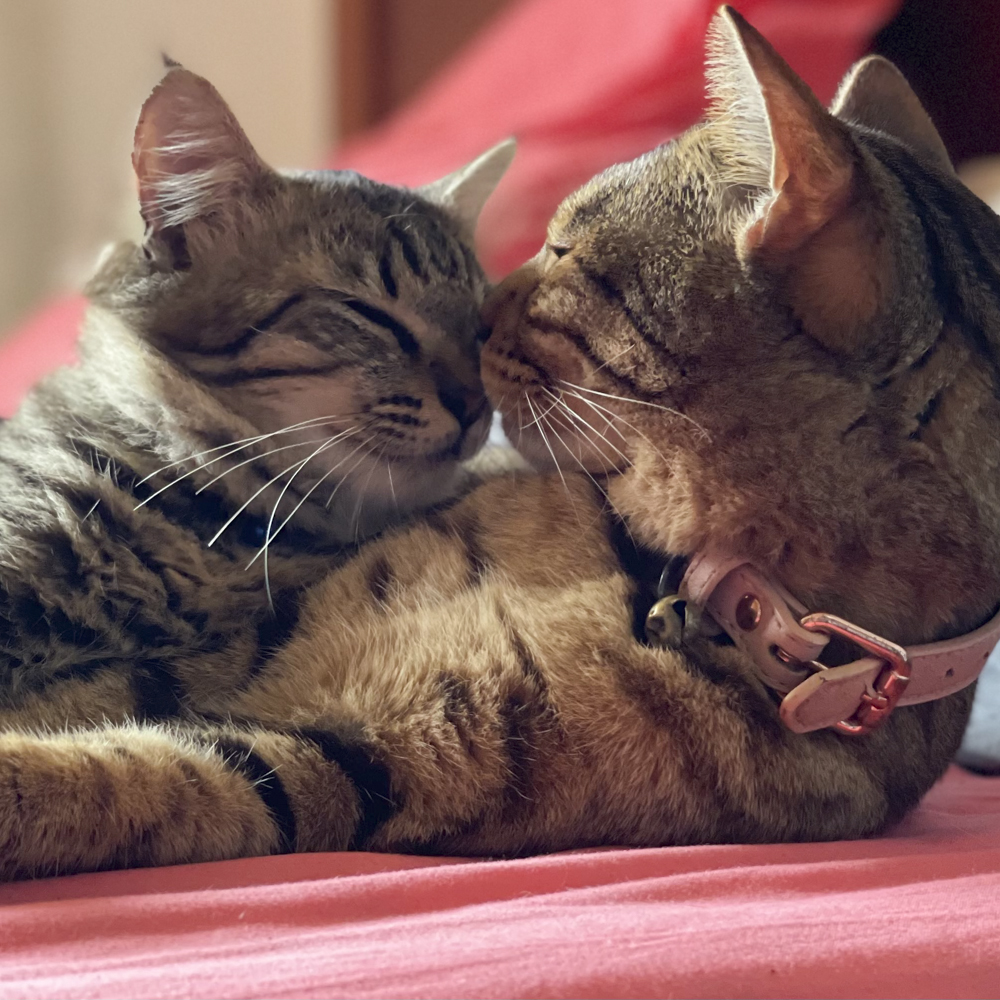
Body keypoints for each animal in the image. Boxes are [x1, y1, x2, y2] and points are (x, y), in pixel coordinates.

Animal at [1, 3, 1000, 876]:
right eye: (378, 315)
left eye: (557, 253)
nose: (477, 338)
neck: (672, 583)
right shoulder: (236, 657)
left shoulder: (335, 764)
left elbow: (118, 777)